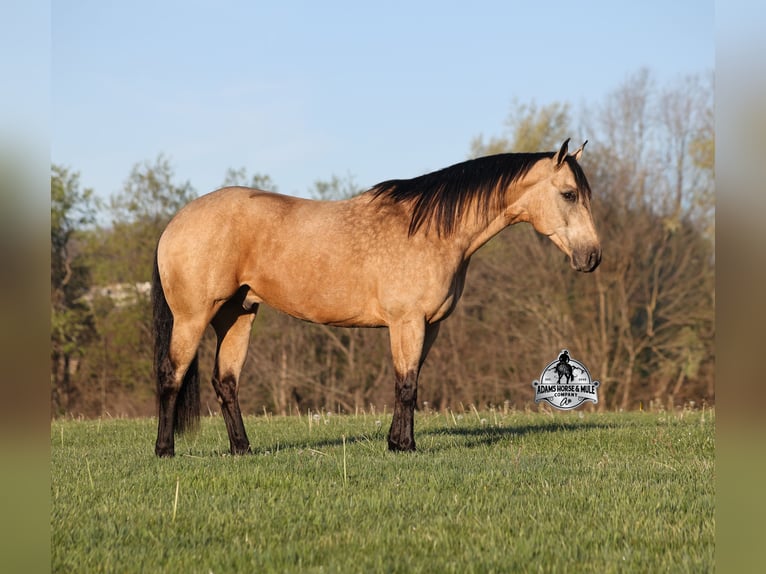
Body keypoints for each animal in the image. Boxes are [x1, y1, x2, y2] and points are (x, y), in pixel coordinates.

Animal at [152, 139, 601, 457]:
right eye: (568, 194)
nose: (592, 257)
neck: (432, 231)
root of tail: (175, 223)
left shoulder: (429, 327)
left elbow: (412, 382)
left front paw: (397, 441)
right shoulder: (407, 322)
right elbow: (406, 384)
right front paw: (404, 446)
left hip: (238, 314)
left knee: (226, 382)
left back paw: (242, 449)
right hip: (193, 316)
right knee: (171, 375)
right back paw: (165, 450)